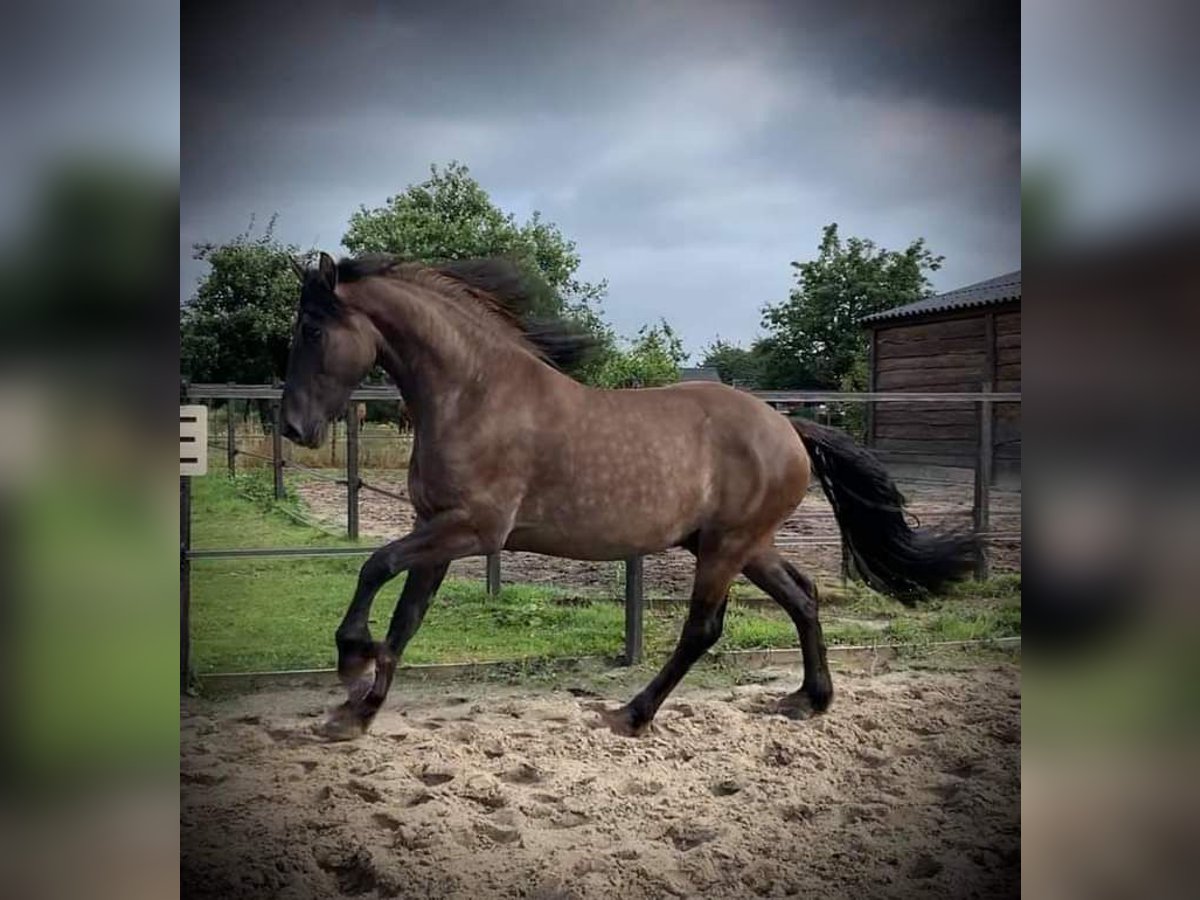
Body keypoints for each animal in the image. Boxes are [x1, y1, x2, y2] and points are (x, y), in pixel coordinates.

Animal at [280, 252, 974, 739]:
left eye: (311, 329)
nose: (292, 427)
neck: (475, 394)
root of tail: (789, 428)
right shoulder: (438, 528)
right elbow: (407, 618)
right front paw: (356, 713)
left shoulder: (474, 528)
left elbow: (374, 565)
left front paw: (349, 659)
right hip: (740, 544)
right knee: (802, 597)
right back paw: (810, 700)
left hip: (724, 548)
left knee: (703, 628)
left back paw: (633, 714)